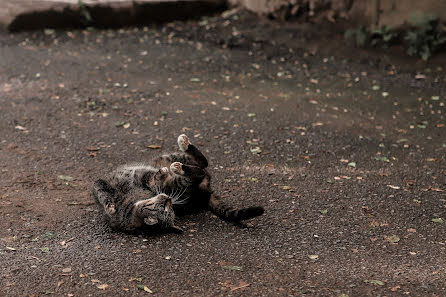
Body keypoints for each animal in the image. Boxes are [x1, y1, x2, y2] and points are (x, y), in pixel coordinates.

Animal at [91, 133, 264, 232]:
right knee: (201, 168)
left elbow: (150, 177)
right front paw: (110, 205)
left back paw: (182, 151)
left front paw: (159, 174)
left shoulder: (144, 178)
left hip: (172, 160)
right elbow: (103, 194)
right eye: (165, 208)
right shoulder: (100, 183)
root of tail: (207, 194)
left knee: (202, 166)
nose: (168, 198)